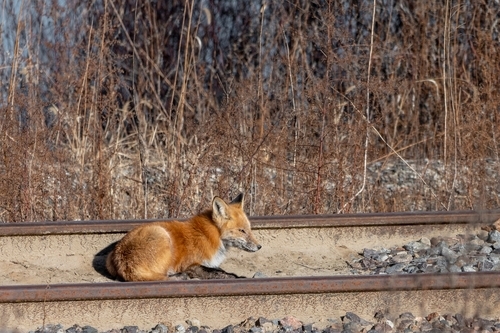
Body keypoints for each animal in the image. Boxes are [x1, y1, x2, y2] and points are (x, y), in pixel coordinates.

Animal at [105, 192, 262, 280]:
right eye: (242, 231)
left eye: (249, 229)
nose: (259, 246)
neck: (212, 235)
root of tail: (124, 262)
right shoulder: (191, 265)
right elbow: (221, 273)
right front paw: (239, 277)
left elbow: (219, 270)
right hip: (163, 236)